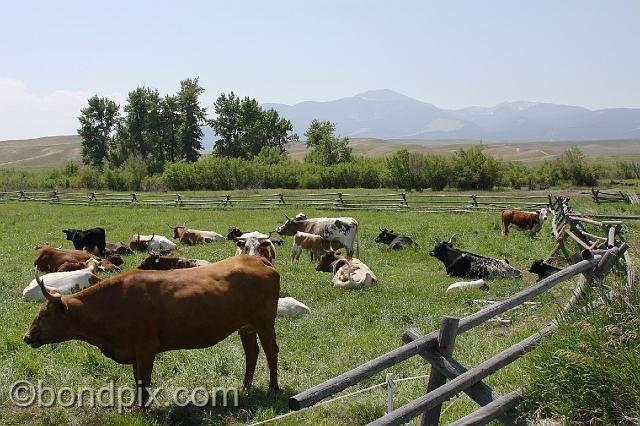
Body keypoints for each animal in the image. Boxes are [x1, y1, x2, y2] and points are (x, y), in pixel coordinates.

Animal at [25, 255, 280, 408]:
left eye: (45, 315)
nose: (27, 337)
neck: (115, 302)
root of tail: (255, 259)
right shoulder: (134, 352)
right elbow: (137, 380)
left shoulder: (146, 349)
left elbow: (144, 381)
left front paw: (144, 410)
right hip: (246, 327)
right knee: (252, 353)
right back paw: (245, 387)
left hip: (265, 323)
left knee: (271, 351)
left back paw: (273, 388)